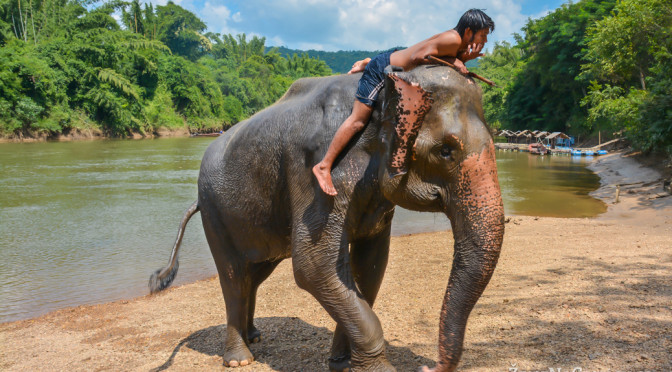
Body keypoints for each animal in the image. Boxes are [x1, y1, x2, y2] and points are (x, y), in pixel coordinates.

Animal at [148, 64, 504, 372]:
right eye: (445, 151)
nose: (429, 366)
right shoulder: (317, 172)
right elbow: (314, 265)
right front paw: (377, 369)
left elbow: (370, 266)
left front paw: (343, 363)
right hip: (216, 213)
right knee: (234, 277)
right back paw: (239, 359)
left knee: (254, 274)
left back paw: (254, 337)